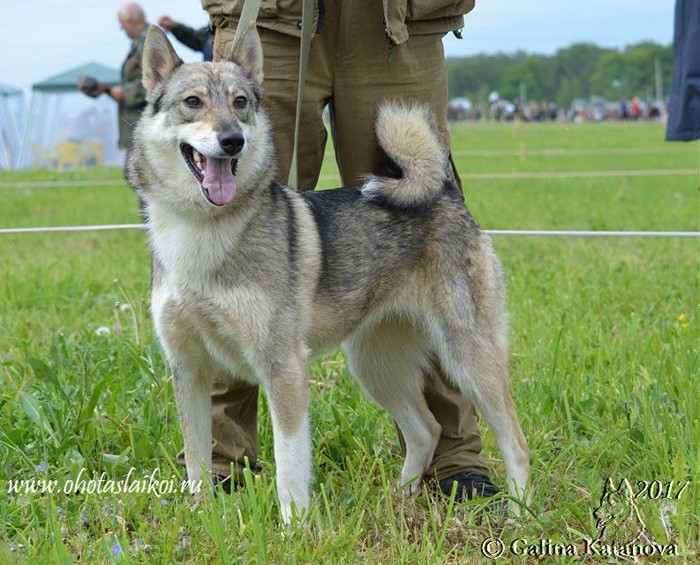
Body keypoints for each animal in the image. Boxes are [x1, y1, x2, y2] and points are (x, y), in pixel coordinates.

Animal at [126, 25, 530, 523]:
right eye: (193, 102)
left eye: (241, 102)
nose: (232, 140)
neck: (201, 231)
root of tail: (445, 194)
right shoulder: (189, 369)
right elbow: (199, 461)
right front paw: (203, 519)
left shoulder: (283, 368)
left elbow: (289, 464)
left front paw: (292, 528)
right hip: (376, 364)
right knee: (426, 430)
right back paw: (397, 500)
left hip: (467, 358)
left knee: (513, 441)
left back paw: (519, 516)